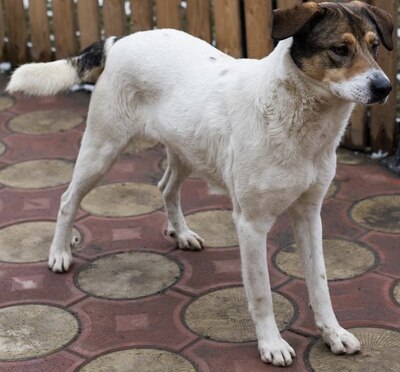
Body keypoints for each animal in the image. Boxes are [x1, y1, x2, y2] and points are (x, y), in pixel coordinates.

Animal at [7, 0, 394, 366]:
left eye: (374, 46)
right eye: (339, 49)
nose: (385, 87)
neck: (301, 120)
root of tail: (119, 41)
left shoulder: (310, 214)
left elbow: (320, 283)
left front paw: (333, 334)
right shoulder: (251, 224)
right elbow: (261, 293)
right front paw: (271, 344)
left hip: (186, 151)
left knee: (165, 187)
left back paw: (181, 233)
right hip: (102, 148)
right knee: (67, 198)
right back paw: (60, 252)